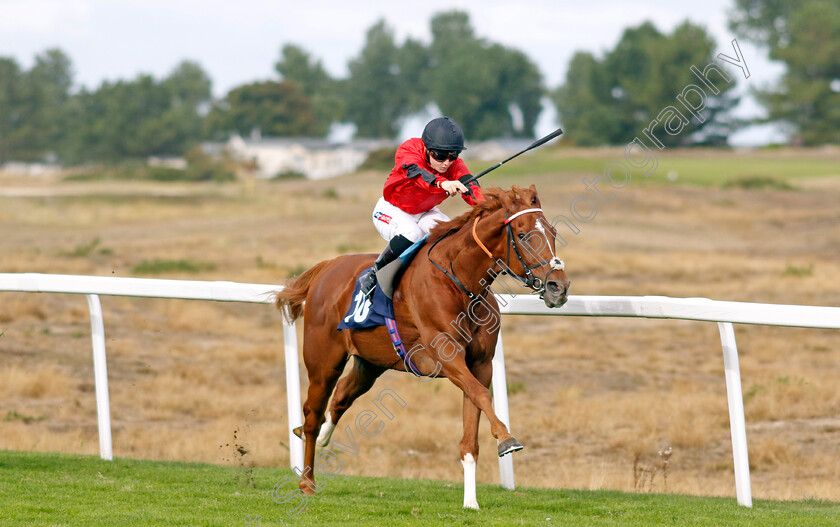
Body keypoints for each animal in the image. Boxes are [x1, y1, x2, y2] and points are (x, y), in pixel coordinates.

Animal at [276, 186, 572, 512]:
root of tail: (325, 268)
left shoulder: (480, 364)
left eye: (553, 232)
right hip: (323, 362)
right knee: (312, 415)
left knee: (341, 397)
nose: (559, 287)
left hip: (370, 363)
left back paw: (324, 439)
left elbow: (473, 425)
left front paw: (470, 502)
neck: (460, 282)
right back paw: (307, 481)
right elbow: (482, 396)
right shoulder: (447, 357)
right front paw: (507, 438)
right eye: (522, 235)